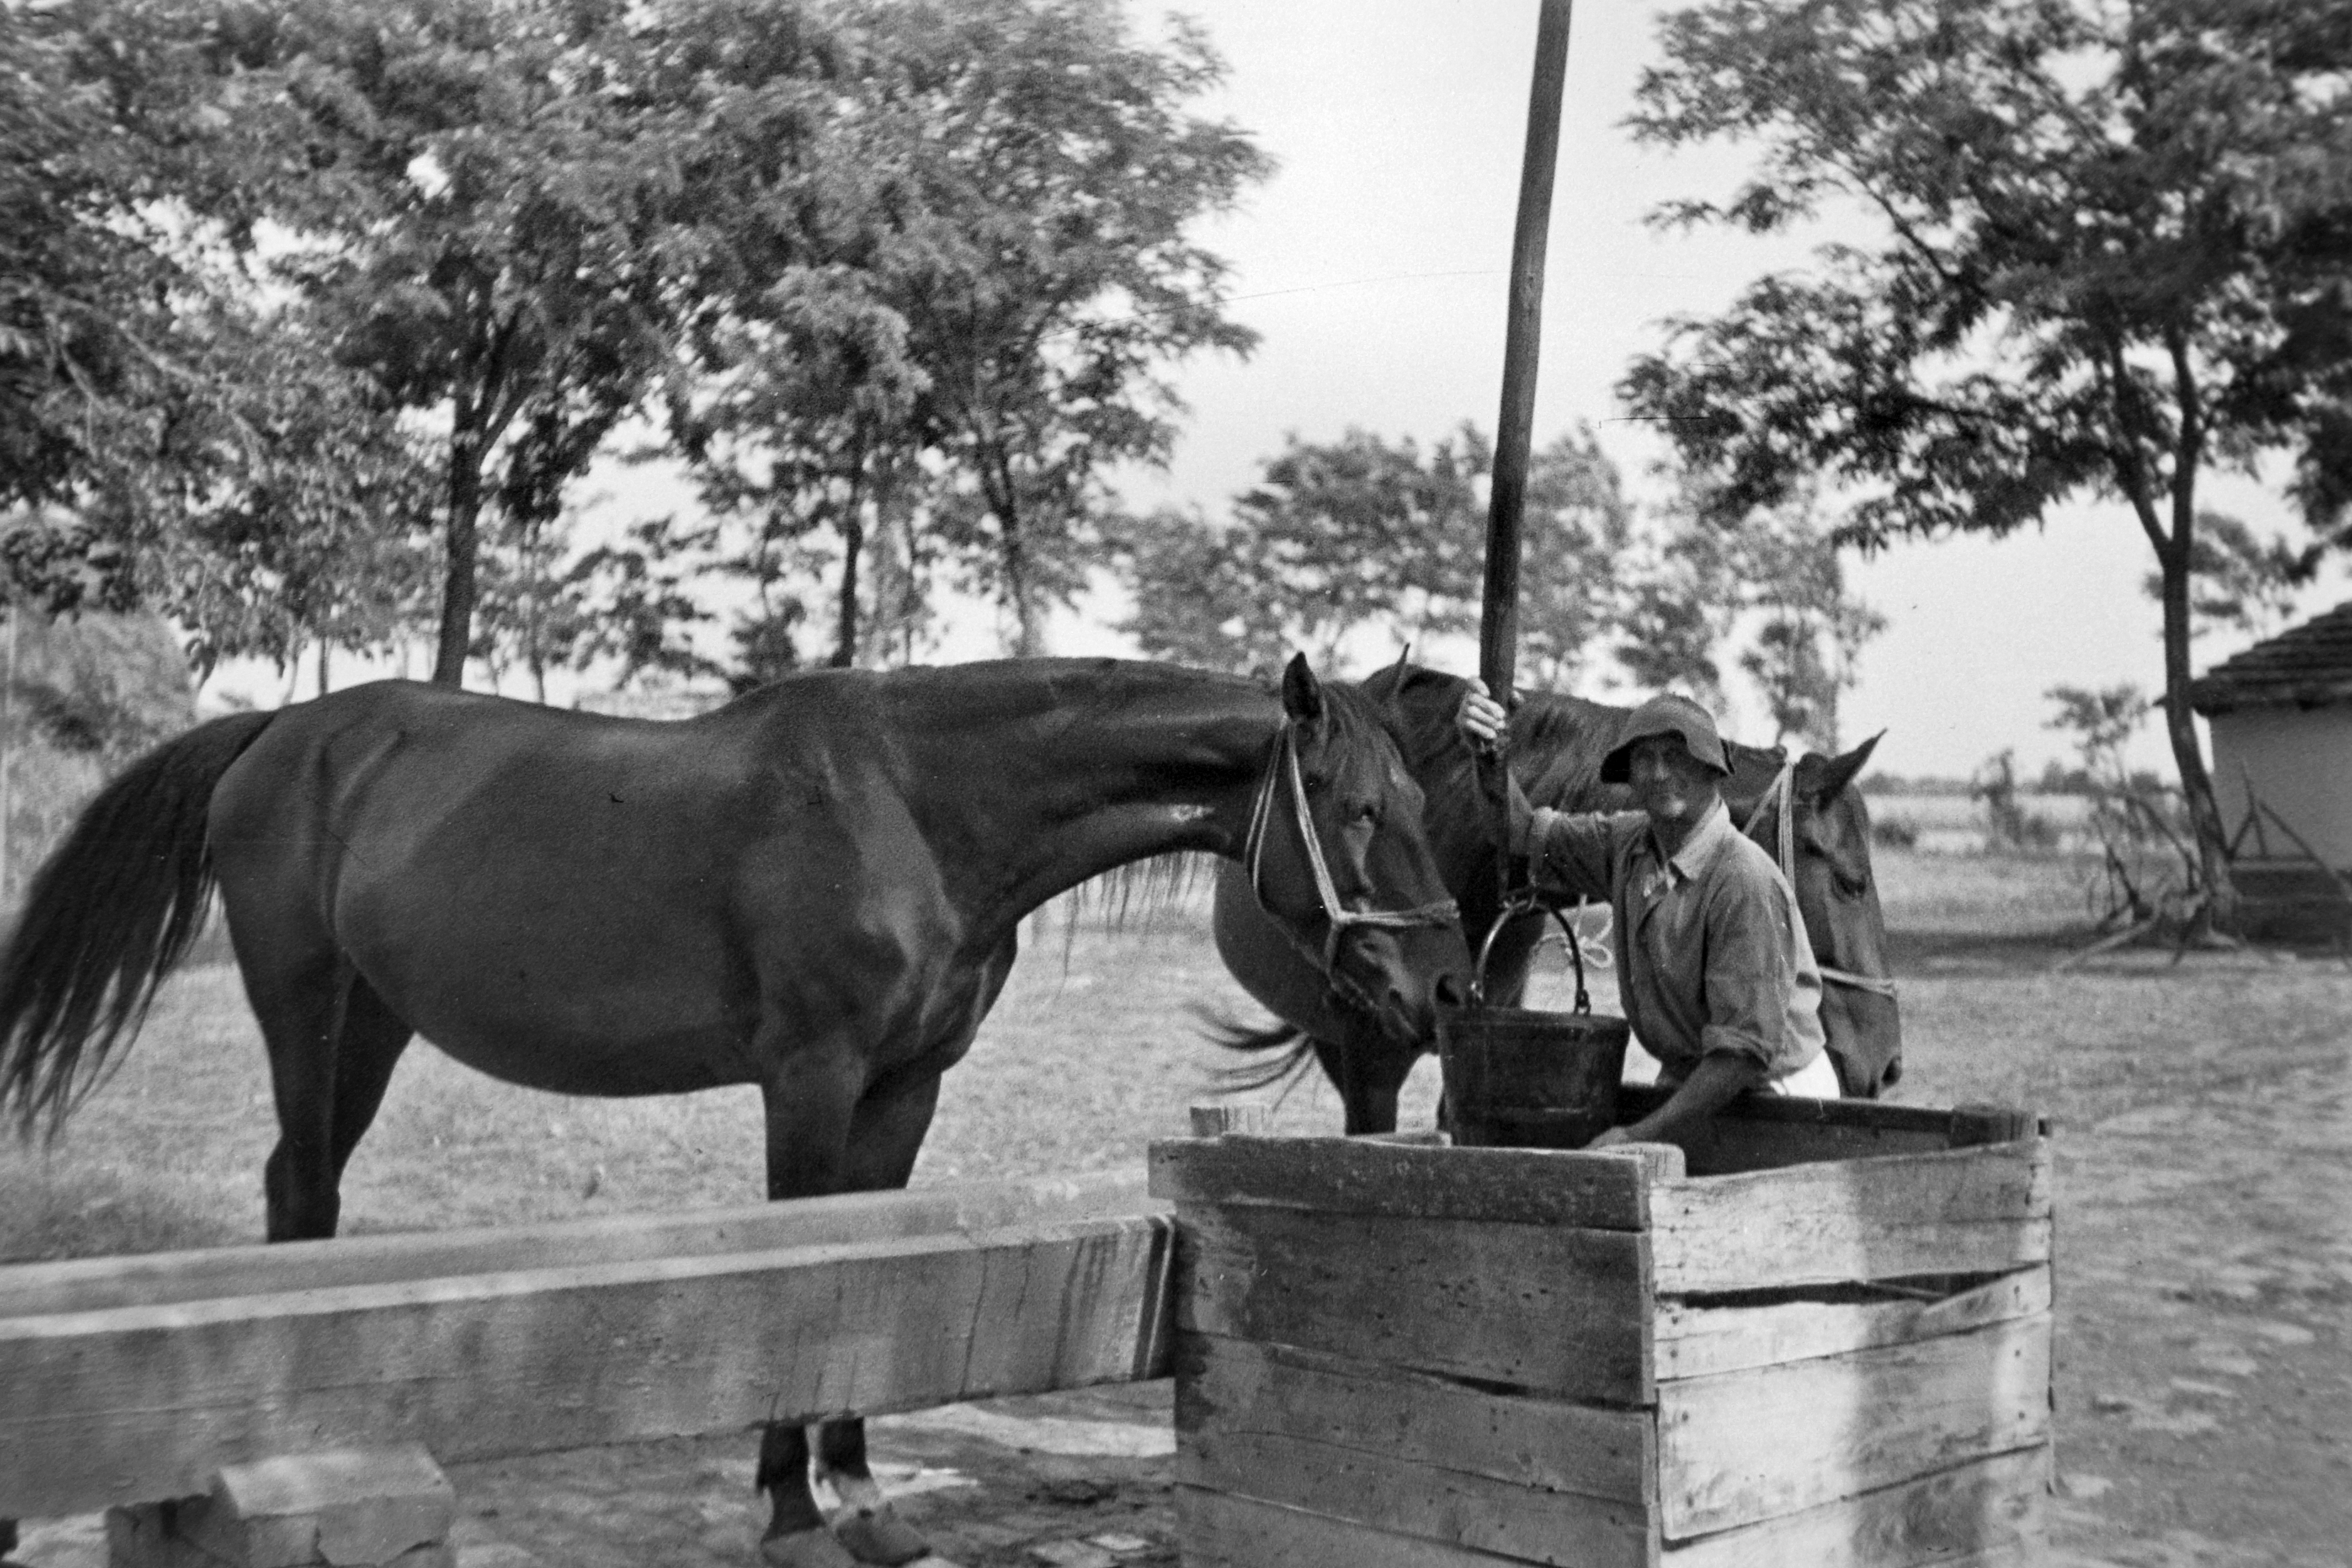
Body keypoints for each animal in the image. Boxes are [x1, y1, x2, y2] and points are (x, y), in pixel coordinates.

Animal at [0, 654, 1467, 1568]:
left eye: (1423, 802)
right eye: (1353, 809)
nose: (1444, 989)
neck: (920, 808)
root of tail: (280, 734)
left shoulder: (907, 1086)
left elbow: (875, 1276)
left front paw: (865, 1501)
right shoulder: (810, 1077)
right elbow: (806, 1271)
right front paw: (789, 1511)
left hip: (370, 1022)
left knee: (294, 1190)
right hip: (305, 1007)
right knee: (302, 1190)